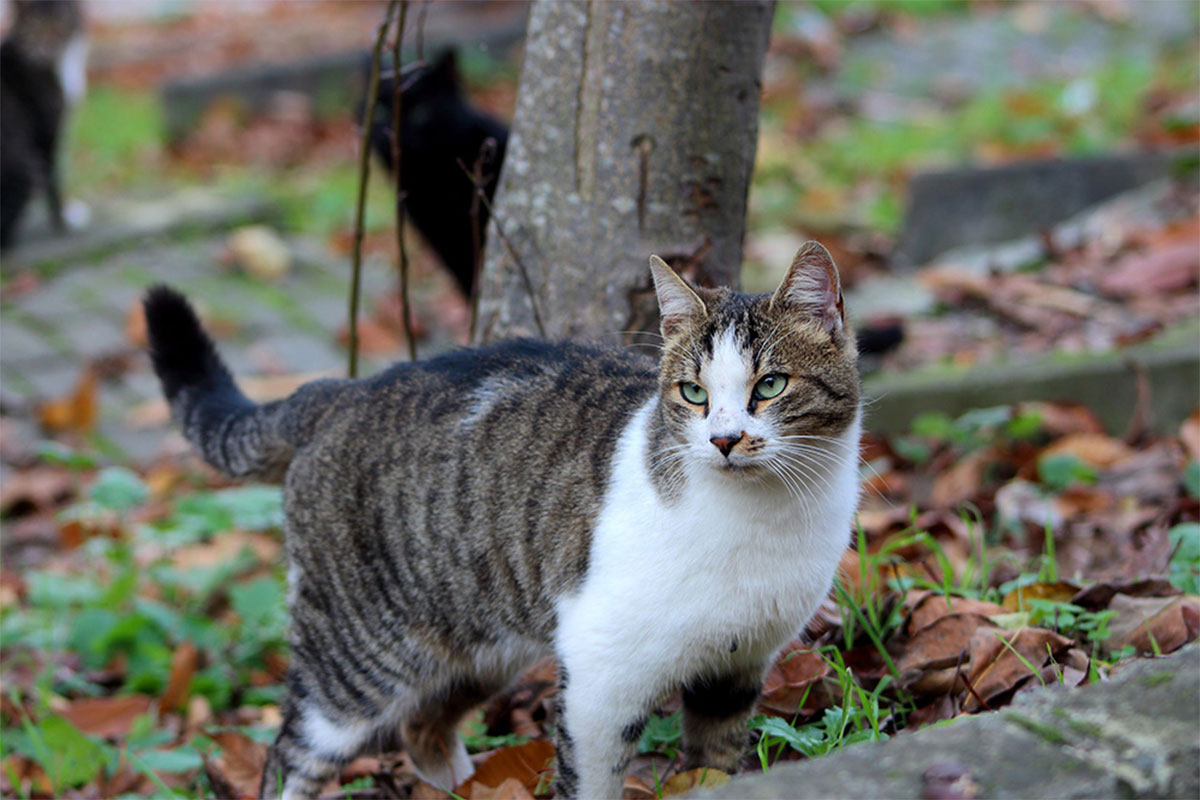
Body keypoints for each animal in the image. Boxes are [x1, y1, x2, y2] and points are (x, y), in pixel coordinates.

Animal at [0, 0, 88, 250]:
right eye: (35, 23)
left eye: (60, 18)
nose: (49, 43)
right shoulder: (47, 130)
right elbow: (54, 179)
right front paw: (65, 219)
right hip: (21, 167)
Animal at [142, 244, 864, 800]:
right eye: (693, 393)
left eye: (770, 386)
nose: (724, 439)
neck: (764, 519)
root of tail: (339, 390)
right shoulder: (602, 675)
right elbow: (591, 781)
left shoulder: (737, 667)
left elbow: (714, 762)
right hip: (351, 661)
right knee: (290, 756)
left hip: (477, 643)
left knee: (423, 730)